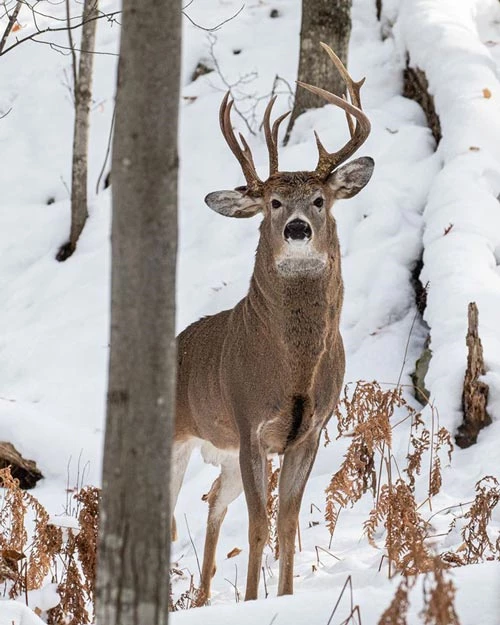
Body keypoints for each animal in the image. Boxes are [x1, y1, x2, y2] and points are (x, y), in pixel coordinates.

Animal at [174, 44, 374, 600]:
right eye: (273, 201)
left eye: (320, 200)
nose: (298, 228)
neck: (294, 371)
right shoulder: (249, 426)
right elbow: (259, 525)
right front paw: (251, 601)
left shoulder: (310, 431)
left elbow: (286, 522)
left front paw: (282, 597)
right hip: (179, 436)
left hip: (220, 454)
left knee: (213, 503)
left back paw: (203, 599)